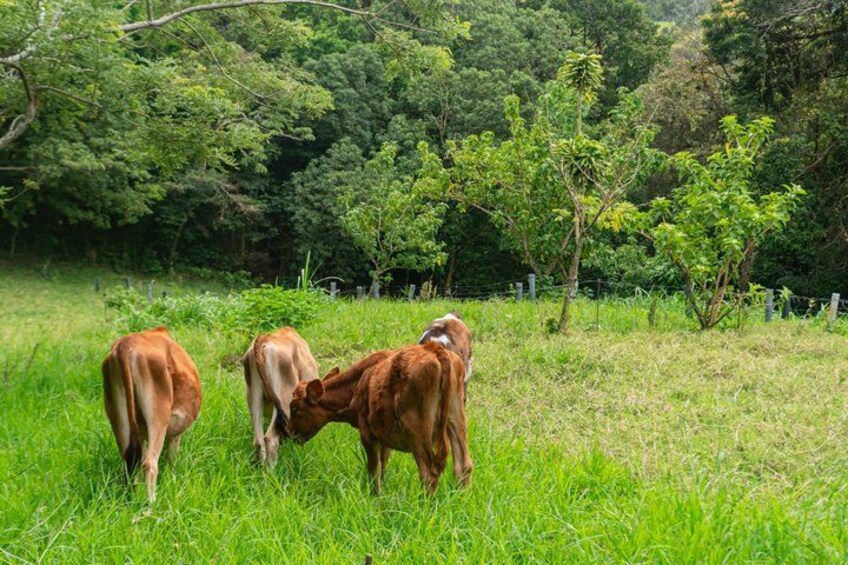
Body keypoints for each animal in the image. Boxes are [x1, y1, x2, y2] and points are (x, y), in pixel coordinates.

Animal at [102, 327, 202, 502]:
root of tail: (125, 344)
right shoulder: (176, 433)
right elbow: (171, 461)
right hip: (158, 415)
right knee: (149, 463)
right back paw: (152, 503)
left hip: (118, 417)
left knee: (130, 462)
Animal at [285, 343, 472, 495]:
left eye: (295, 408)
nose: (288, 431)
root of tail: (435, 349)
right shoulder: (385, 437)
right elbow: (383, 466)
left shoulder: (368, 434)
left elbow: (374, 470)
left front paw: (374, 497)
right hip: (456, 416)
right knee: (463, 465)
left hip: (416, 427)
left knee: (429, 472)